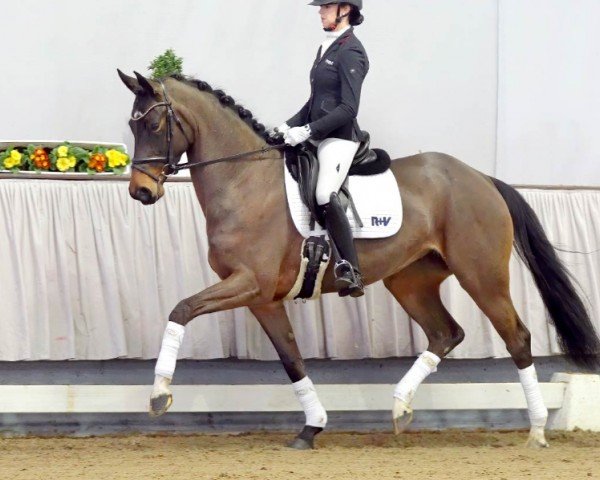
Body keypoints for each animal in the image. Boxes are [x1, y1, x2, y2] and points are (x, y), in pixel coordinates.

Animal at [117, 70, 600, 450]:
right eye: (131, 125)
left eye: (155, 123)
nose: (140, 192)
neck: (244, 180)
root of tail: (481, 178)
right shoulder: (263, 298)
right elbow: (292, 360)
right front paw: (312, 428)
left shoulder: (250, 282)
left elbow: (181, 309)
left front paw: (159, 394)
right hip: (409, 281)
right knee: (446, 333)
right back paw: (400, 408)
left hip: (482, 276)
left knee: (516, 337)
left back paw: (536, 430)